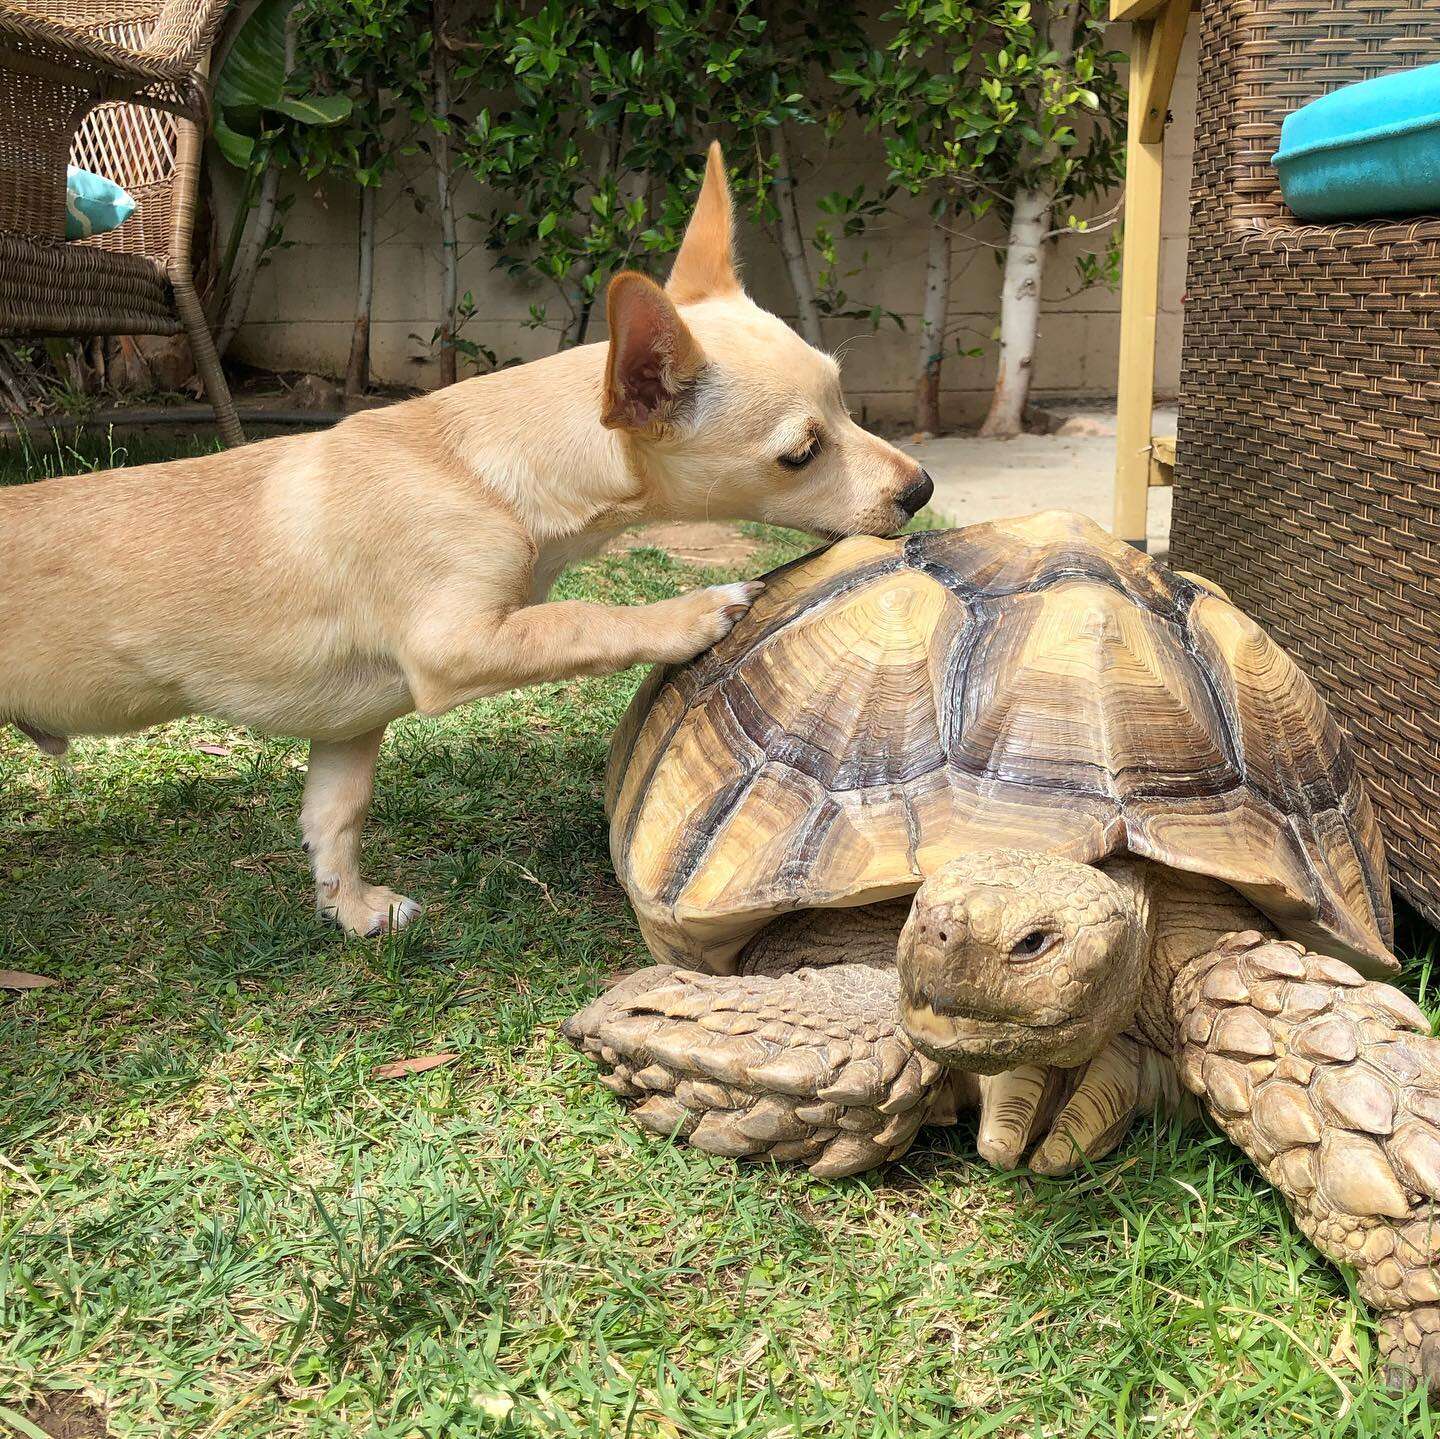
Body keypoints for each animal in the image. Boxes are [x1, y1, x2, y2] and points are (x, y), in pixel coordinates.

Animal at [0, 143, 933, 933]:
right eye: (801, 453)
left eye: (847, 397)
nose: (921, 489)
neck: (483, 467)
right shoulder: (458, 646)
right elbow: (582, 619)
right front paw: (691, 612)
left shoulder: (350, 724)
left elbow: (335, 815)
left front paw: (351, 908)